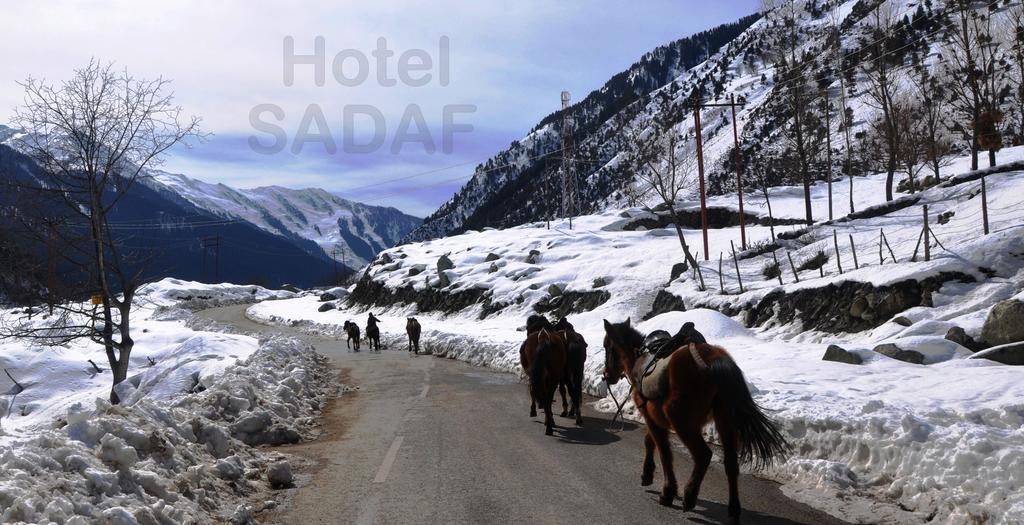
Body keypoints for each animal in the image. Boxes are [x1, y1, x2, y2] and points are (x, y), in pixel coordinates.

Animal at [598, 317, 790, 521]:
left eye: (607, 346)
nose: (606, 375)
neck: (638, 358)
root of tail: (713, 360)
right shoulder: (657, 419)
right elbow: (651, 441)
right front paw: (647, 475)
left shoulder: (650, 415)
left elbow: (663, 451)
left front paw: (667, 491)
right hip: (725, 420)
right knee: (731, 463)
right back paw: (733, 510)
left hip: (682, 421)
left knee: (703, 455)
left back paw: (689, 496)